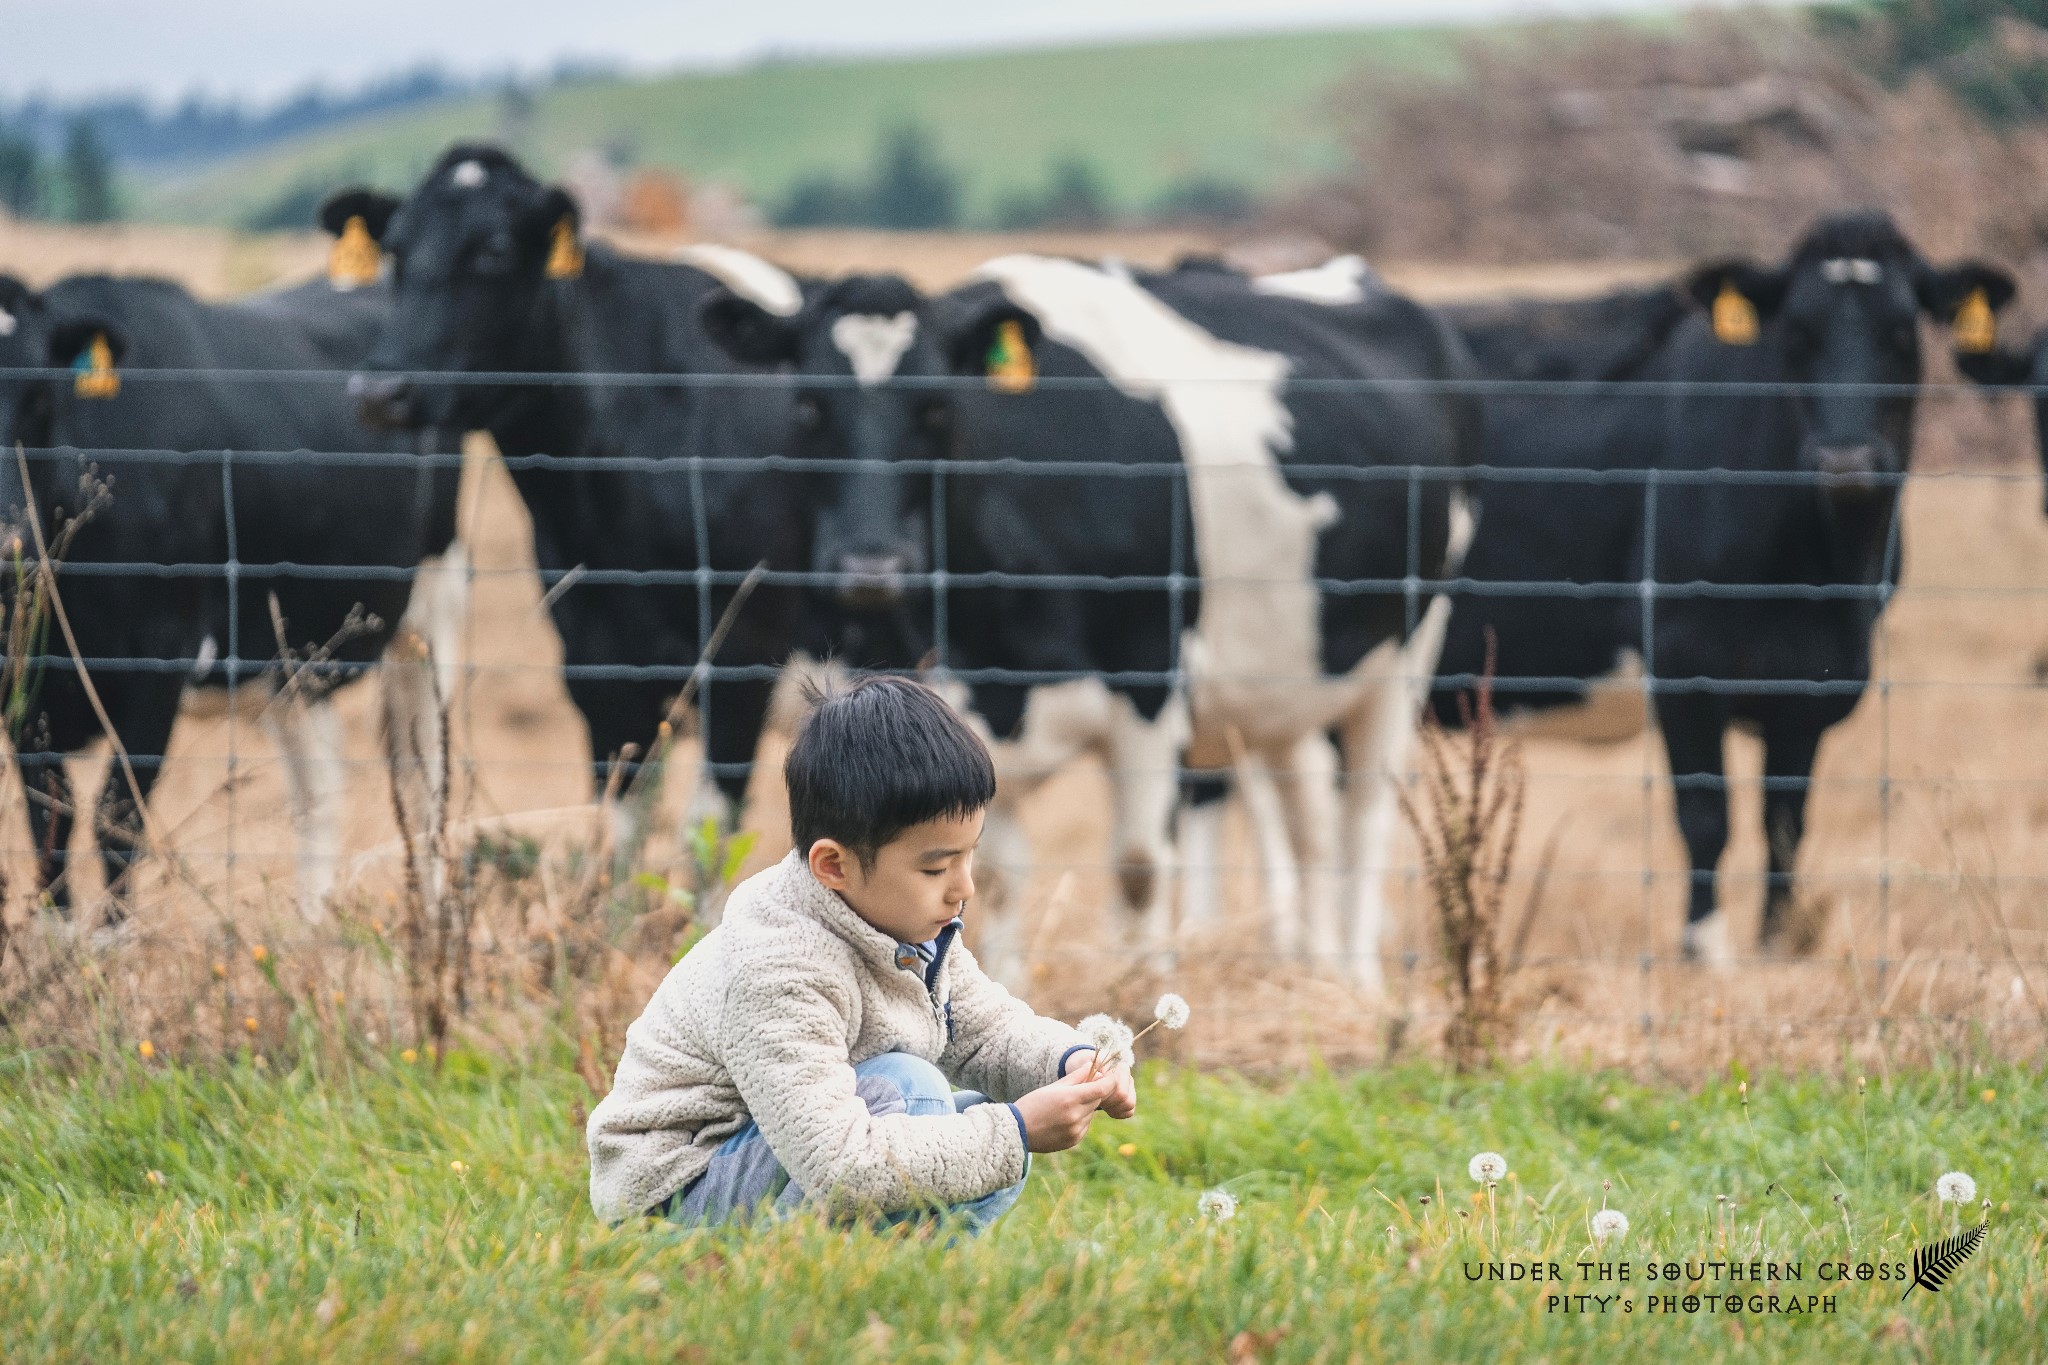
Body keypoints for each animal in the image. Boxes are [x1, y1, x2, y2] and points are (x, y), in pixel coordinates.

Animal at [0, 263, 464, 929]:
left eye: (39, 395)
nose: (6, 538)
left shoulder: (158, 668)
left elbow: (116, 819)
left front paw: (111, 944)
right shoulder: (21, 685)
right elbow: (48, 821)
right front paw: (57, 938)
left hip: (433, 610)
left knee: (422, 778)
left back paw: (433, 921)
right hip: (291, 663)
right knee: (319, 789)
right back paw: (312, 927)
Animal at [339, 147, 811, 875]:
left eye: (495, 251)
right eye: (394, 249)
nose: (379, 389)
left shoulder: (742, 662)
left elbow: (706, 843)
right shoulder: (598, 667)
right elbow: (620, 830)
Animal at [700, 250, 1474, 986]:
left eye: (937, 409)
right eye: (808, 407)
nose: (869, 566)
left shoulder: (1152, 678)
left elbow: (1138, 865)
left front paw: (1143, 989)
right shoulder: (958, 694)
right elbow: (994, 871)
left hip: (1406, 656)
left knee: (1363, 819)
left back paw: (1356, 979)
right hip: (1286, 689)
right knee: (1306, 820)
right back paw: (1315, 970)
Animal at [1441, 210, 2015, 961]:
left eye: (1900, 332)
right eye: (1796, 334)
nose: (1847, 458)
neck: (1822, 577)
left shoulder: (1815, 685)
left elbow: (1785, 821)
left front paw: (1775, 944)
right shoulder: (1682, 662)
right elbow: (1706, 814)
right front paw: (1705, 948)